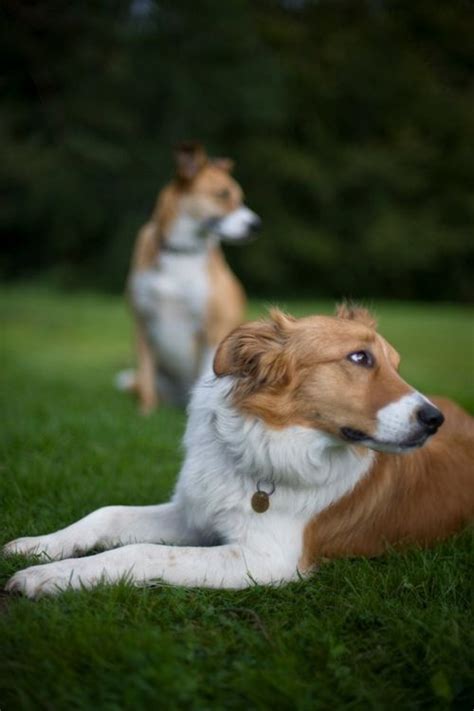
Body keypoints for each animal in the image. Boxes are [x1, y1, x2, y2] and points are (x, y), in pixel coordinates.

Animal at [4, 306, 474, 600]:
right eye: (359, 358)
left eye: (395, 365)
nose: (432, 420)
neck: (262, 446)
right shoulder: (195, 513)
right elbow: (108, 514)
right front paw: (38, 547)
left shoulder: (266, 560)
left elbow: (140, 551)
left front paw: (49, 577)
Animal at [121, 142, 260, 412]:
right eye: (222, 194)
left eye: (240, 198)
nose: (256, 226)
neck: (182, 252)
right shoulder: (143, 324)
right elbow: (146, 380)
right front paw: (145, 413)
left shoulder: (212, 329)